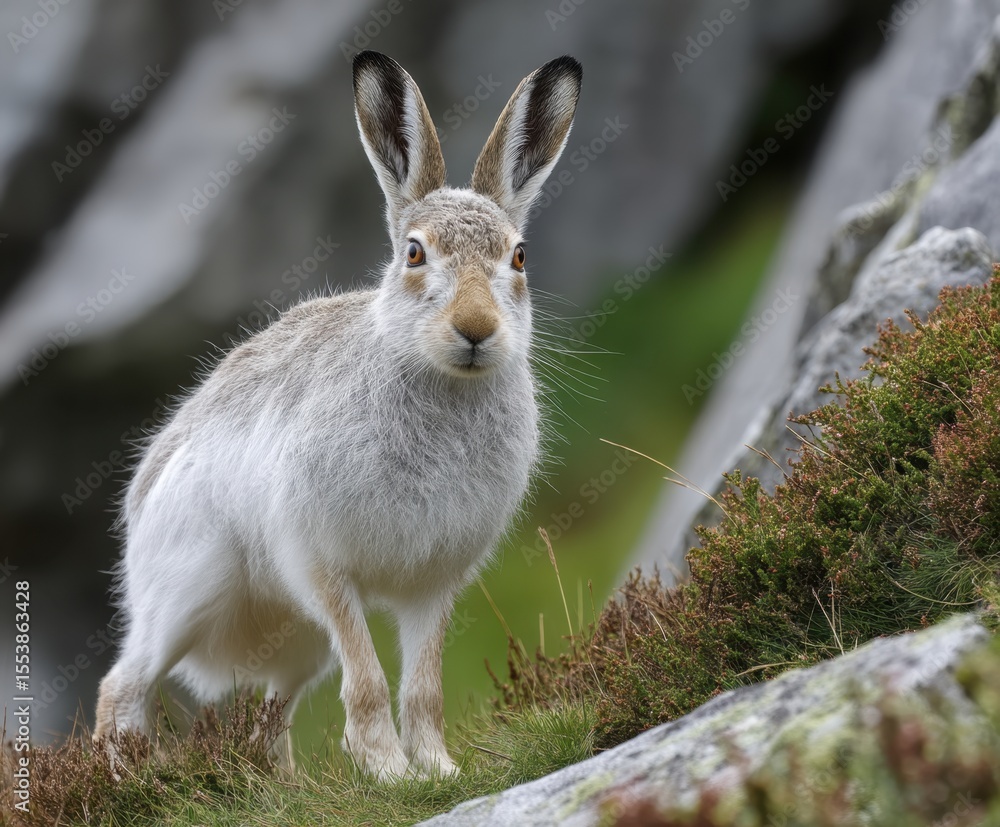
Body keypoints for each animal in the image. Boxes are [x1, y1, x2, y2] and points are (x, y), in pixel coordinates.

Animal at [93, 50, 582, 779]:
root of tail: (142, 497)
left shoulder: (435, 581)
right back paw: (131, 781)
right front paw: (388, 772)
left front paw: (437, 769)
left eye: (519, 256)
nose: (475, 329)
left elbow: (424, 685)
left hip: (298, 642)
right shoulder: (322, 563)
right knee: (123, 684)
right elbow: (369, 680)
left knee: (269, 715)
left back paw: (283, 787)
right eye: (414, 253)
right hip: (189, 587)